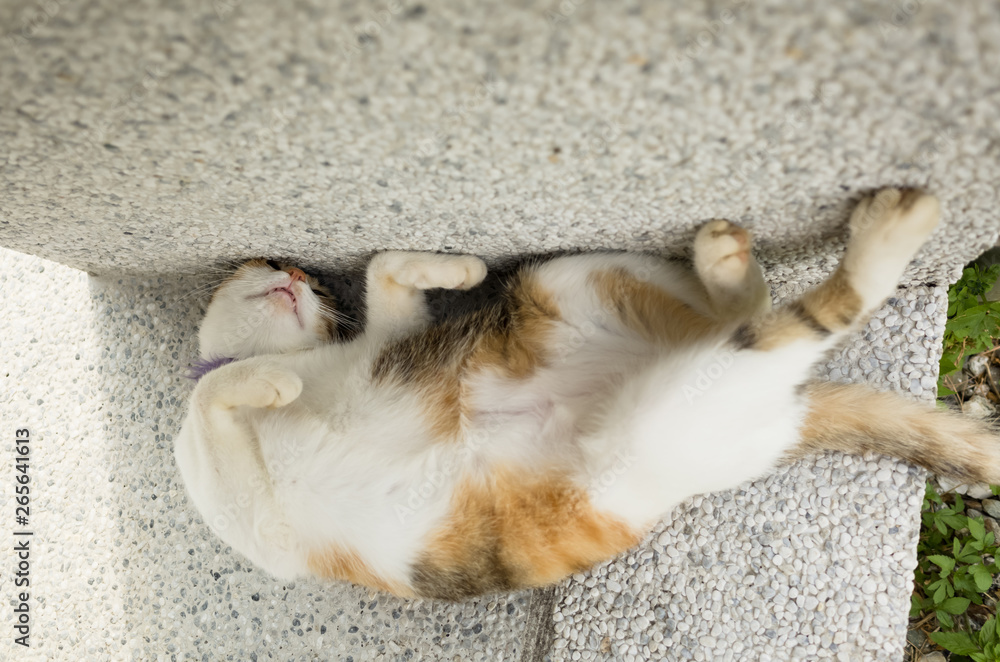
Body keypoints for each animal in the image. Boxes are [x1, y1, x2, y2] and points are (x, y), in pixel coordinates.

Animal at [174, 188, 1000, 600]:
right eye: (276, 266)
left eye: (311, 283)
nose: (294, 275)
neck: (313, 359)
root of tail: (792, 411)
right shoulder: (259, 519)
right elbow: (212, 396)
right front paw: (266, 383)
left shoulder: (390, 345)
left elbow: (380, 269)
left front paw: (462, 269)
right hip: (653, 384)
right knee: (763, 320)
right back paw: (751, 253)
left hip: (576, 285)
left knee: (783, 316)